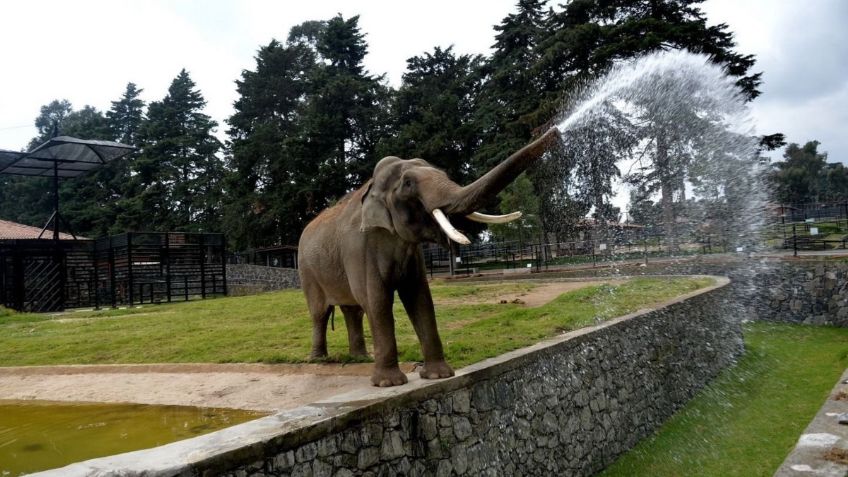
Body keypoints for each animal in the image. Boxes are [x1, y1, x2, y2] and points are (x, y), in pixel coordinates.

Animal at [294, 127, 560, 386]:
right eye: (408, 183)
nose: (556, 130)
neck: (371, 185)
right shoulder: (359, 248)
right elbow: (376, 299)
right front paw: (389, 383)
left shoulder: (412, 254)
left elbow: (420, 297)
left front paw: (438, 376)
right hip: (307, 270)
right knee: (320, 312)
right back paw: (319, 359)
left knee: (353, 310)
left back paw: (360, 358)